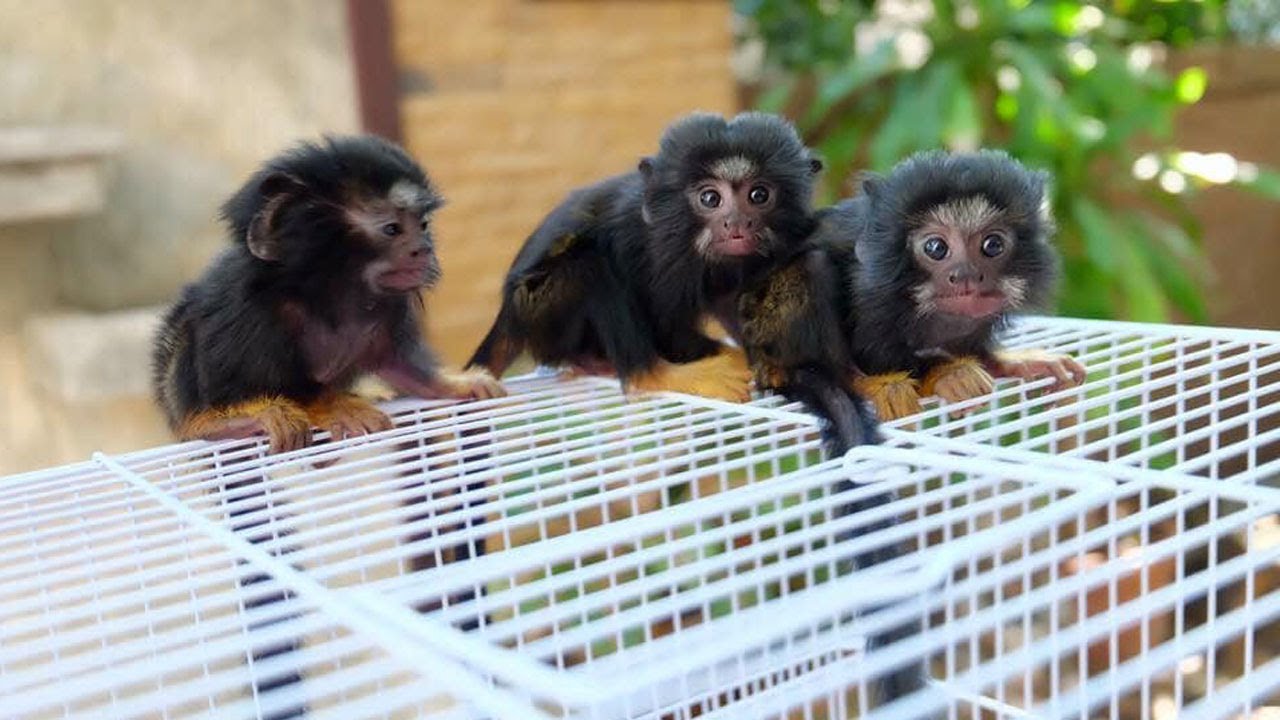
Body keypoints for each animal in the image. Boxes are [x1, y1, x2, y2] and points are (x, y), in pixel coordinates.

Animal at [152, 134, 505, 454]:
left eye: (423, 225)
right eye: (392, 229)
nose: (424, 249)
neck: (332, 292)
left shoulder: (389, 308)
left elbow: (397, 363)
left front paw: (452, 383)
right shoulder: (250, 311)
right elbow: (263, 384)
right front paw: (335, 405)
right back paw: (220, 424)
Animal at [467, 112, 825, 402]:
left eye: (759, 195)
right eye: (710, 198)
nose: (737, 223)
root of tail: (509, 314)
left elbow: (732, 303)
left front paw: (771, 359)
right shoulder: (652, 252)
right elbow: (668, 329)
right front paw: (734, 357)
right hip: (537, 303)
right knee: (591, 265)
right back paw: (654, 375)